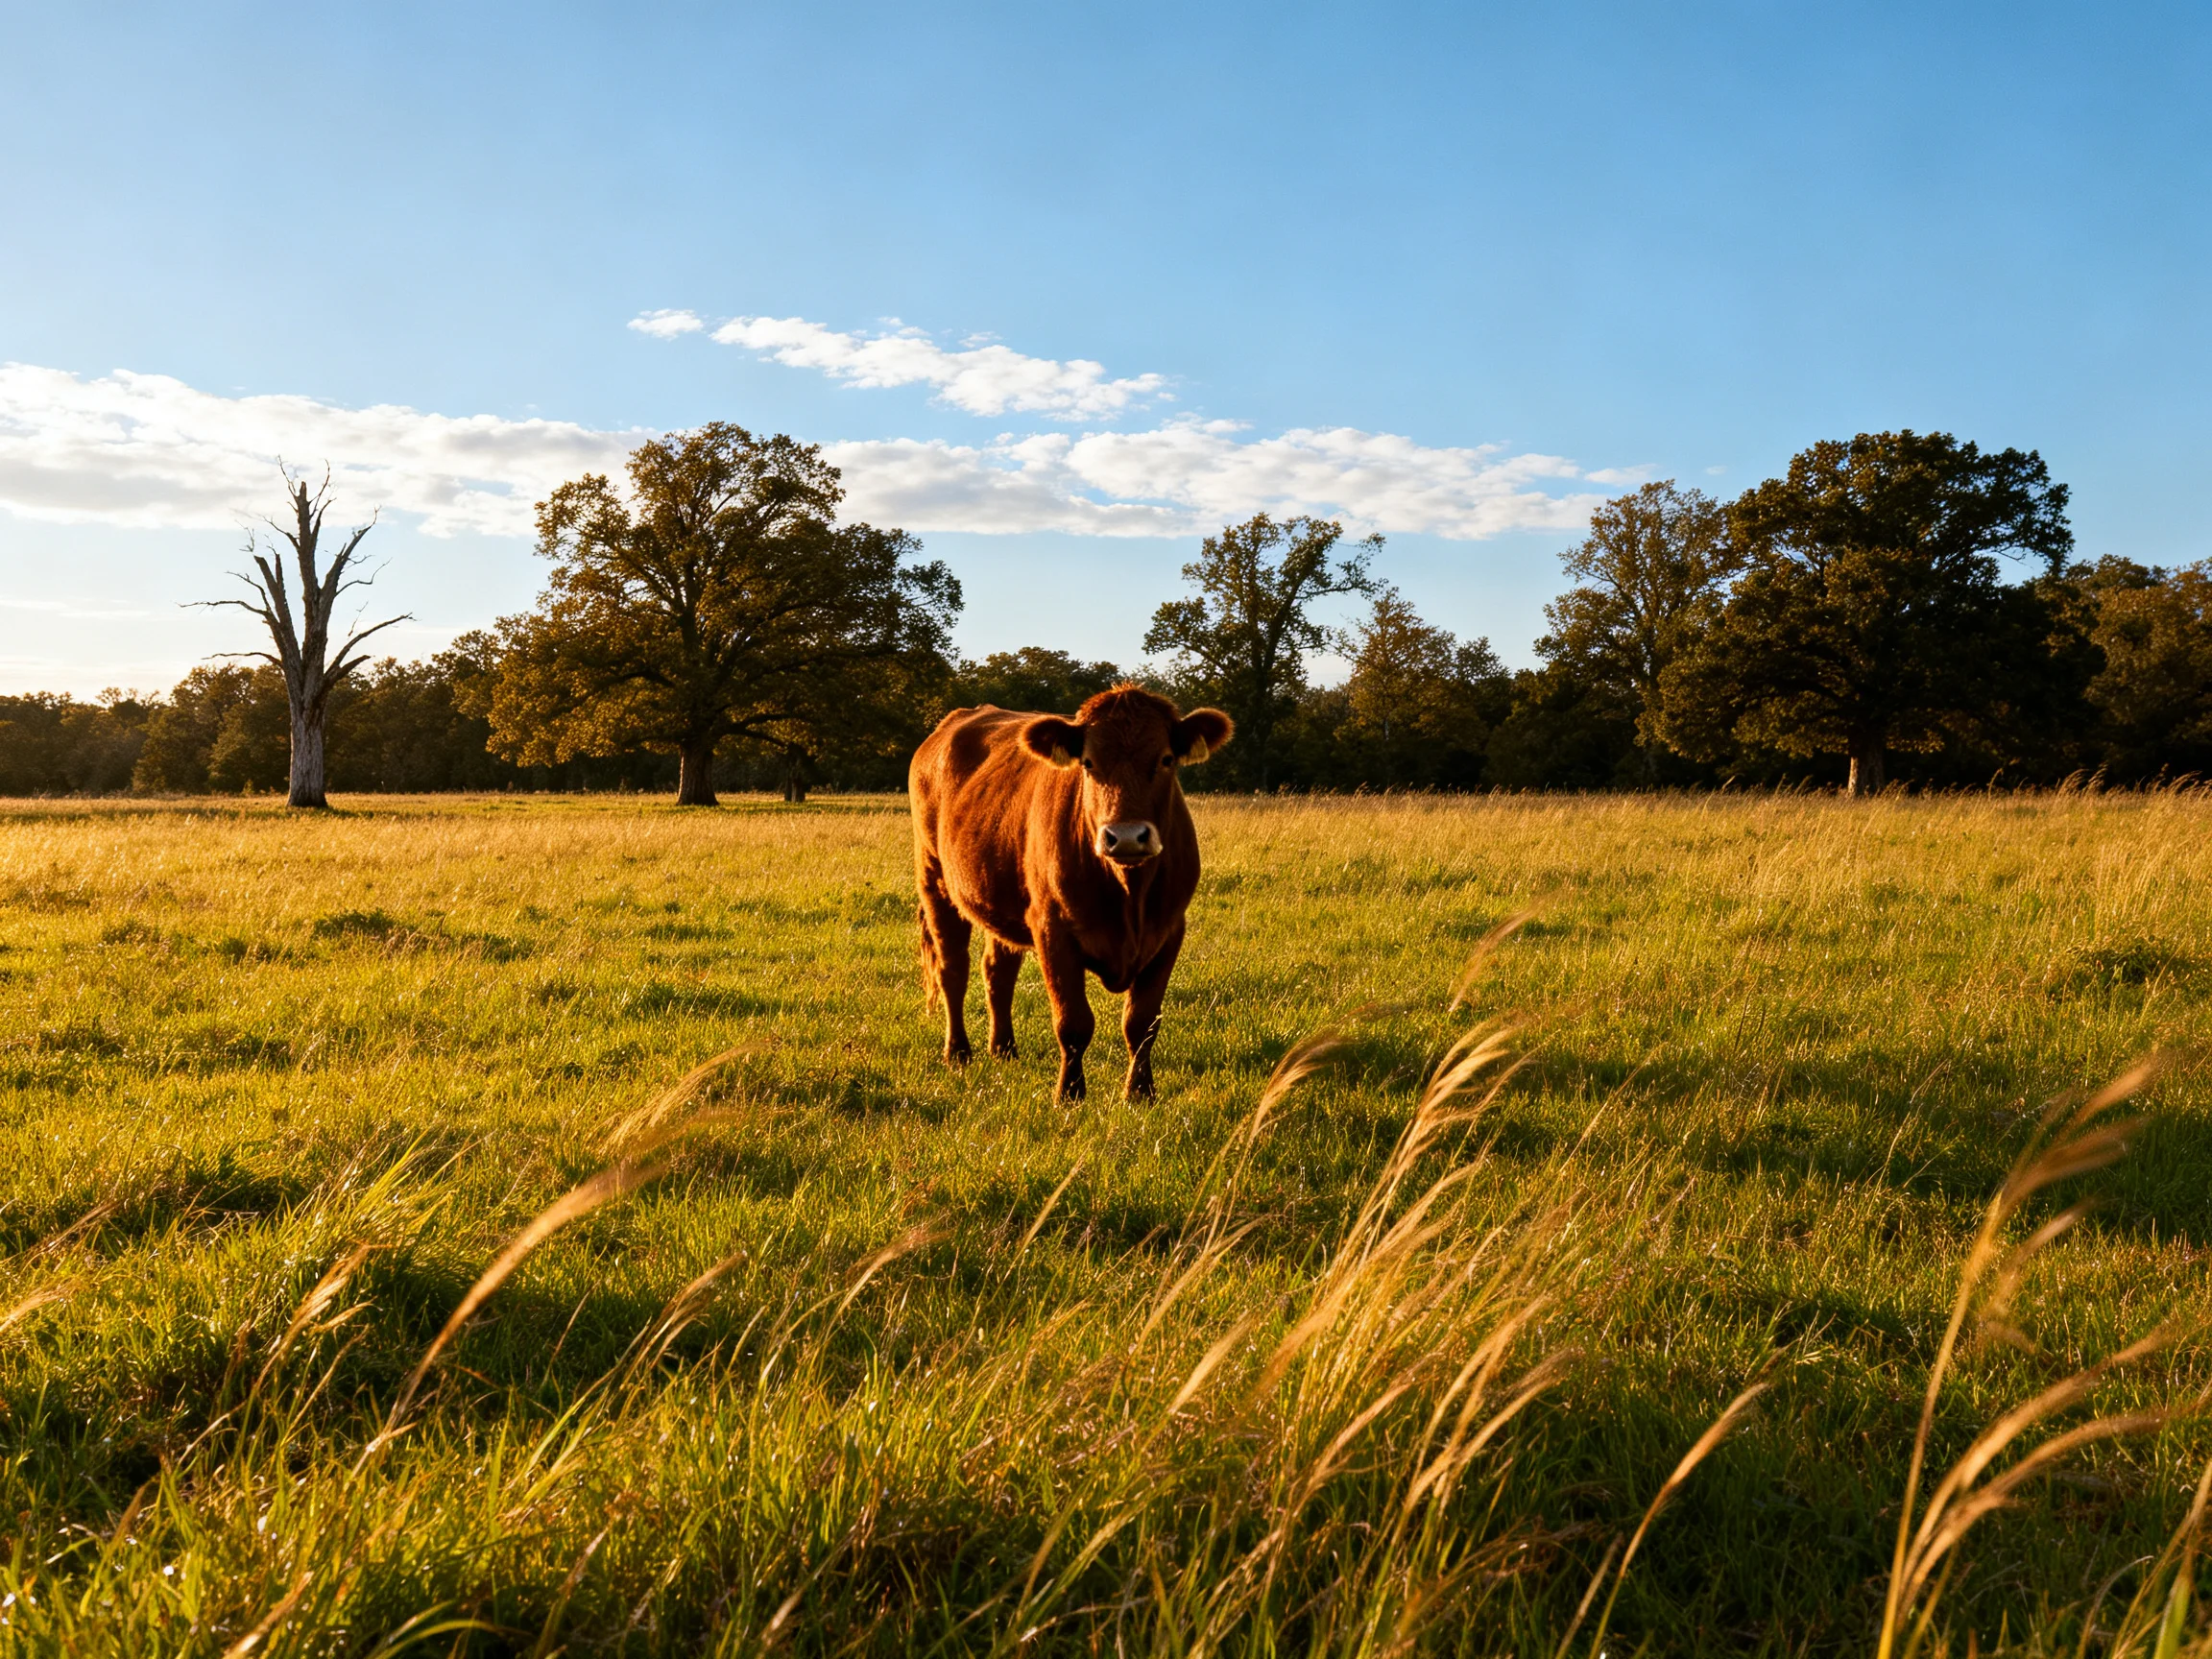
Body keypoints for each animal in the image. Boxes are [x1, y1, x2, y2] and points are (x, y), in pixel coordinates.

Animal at [909, 684, 1234, 1101]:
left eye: (1166, 759)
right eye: (1089, 763)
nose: (1126, 836)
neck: (1129, 892)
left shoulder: (1169, 932)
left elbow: (1142, 1023)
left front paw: (1140, 1092)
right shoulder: (1053, 931)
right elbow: (1073, 1022)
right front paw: (1070, 1093)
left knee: (997, 972)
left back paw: (1004, 1049)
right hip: (934, 880)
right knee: (953, 970)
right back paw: (958, 1052)